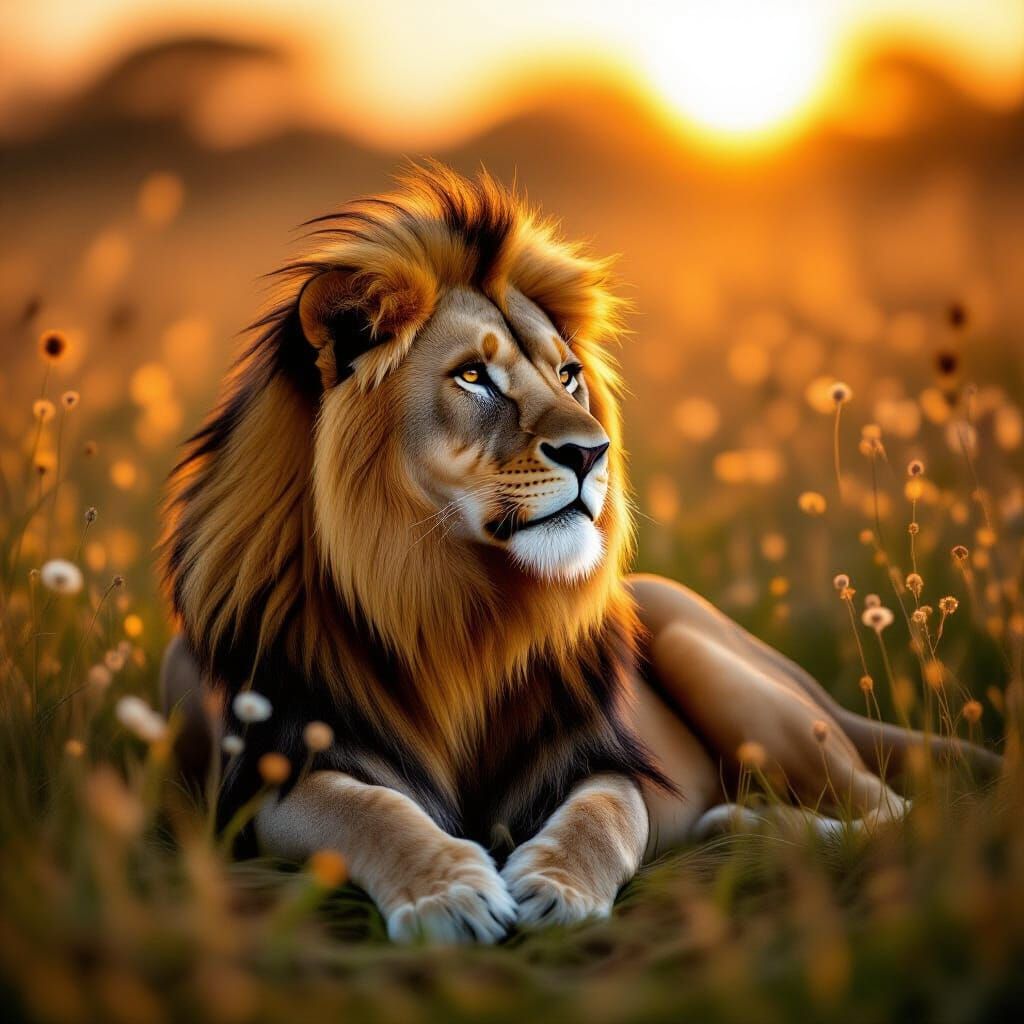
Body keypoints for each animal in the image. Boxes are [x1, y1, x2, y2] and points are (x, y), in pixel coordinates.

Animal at [160, 163, 998, 944]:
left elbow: (603, 815)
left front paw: (554, 887)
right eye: (474, 375)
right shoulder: (268, 775)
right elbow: (366, 809)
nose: (592, 454)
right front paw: (448, 893)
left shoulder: (602, 753)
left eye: (567, 374)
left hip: (710, 656)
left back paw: (744, 827)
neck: (450, 603)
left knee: (905, 812)